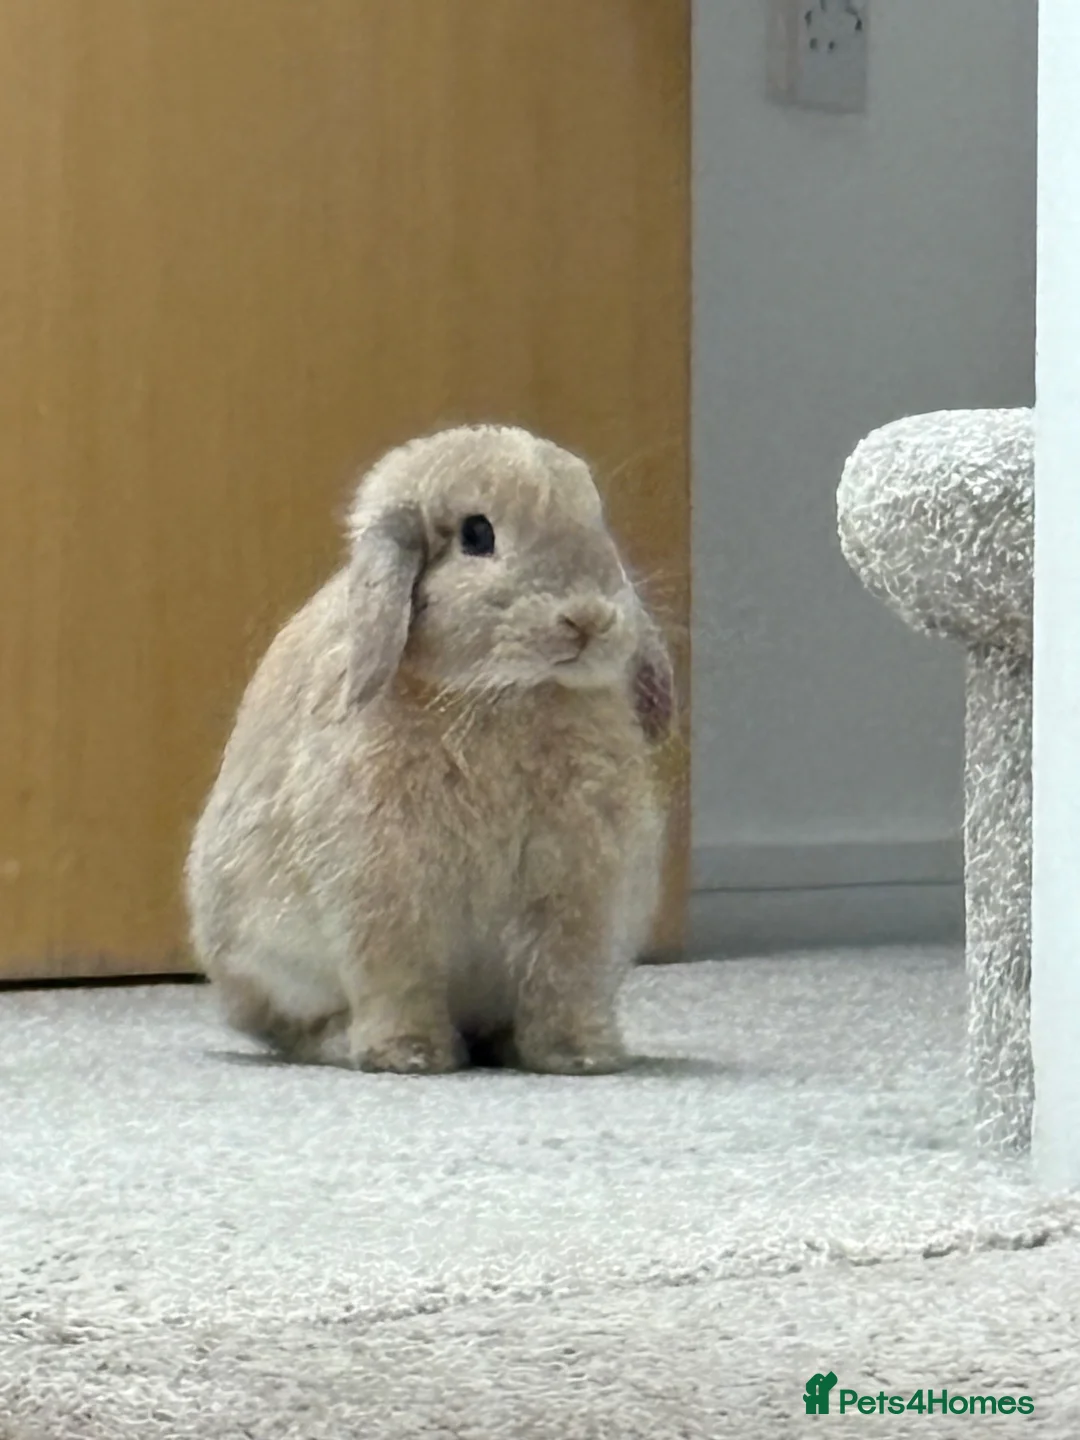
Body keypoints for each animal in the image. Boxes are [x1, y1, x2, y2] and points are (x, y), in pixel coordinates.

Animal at [184, 424, 675, 1075]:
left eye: (596, 519)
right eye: (476, 534)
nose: (589, 618)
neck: (501, 693)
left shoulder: (582, 893)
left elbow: (563, 979)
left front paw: (581, 1055)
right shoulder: (384, 893)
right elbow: (399, 978)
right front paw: (412, 1056)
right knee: (293, 1028)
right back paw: (349, 1044)